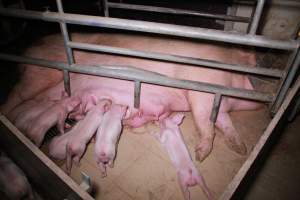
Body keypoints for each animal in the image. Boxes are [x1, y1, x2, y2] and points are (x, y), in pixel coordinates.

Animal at [0, 32, 262, 161]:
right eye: (250, 67)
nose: (258, 87)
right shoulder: (201, 88)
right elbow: (205, 123)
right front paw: (200, 155)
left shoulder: (218, 103)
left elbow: (223, 123)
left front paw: (240, 149)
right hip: (40, 73)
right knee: (14, 96)